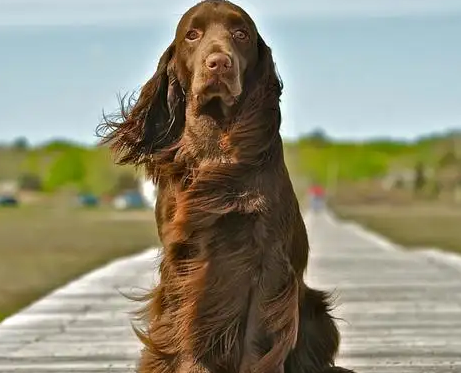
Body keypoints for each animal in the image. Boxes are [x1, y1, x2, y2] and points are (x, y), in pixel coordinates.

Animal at [99, 0, 354, 372]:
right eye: (192, 34)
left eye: (241, 34)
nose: (219, 62)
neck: (215, 144)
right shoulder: (186, 257)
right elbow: (187, 323)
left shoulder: (266, 258)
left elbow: (256, 334)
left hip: (315, 309)